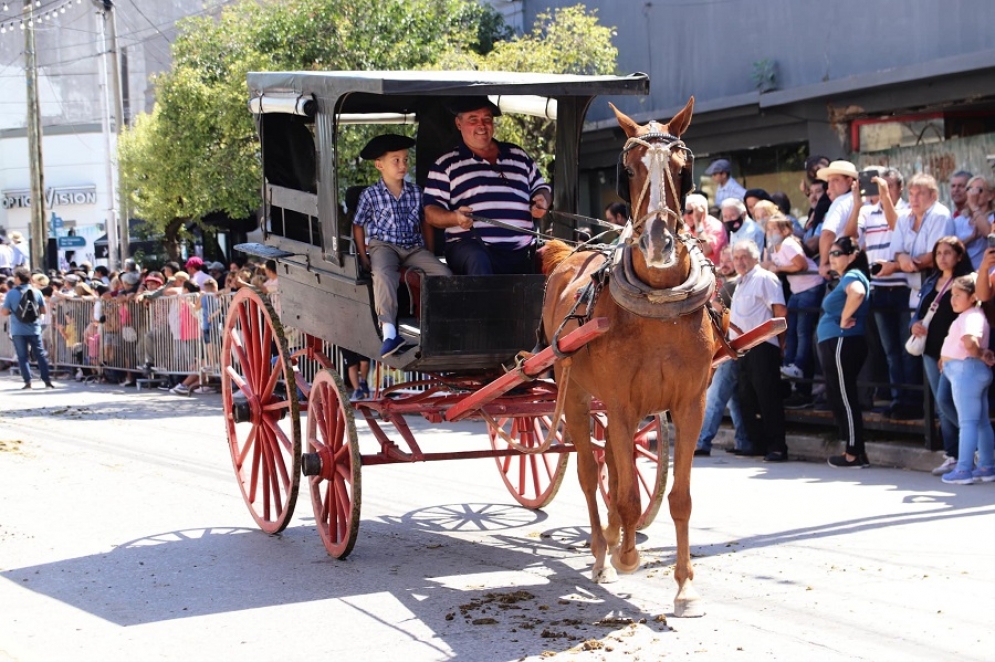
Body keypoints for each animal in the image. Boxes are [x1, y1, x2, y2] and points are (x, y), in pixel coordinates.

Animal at [544, 96, 716, 620]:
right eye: (630, 169)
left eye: (682, 168)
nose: (659, 244)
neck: (658, 305)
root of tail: (566, 255)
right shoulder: (620, 404)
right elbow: (623, 494)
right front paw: (626, 556)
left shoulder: (689, 405)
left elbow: (678, 498)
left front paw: (685, 587)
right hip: (576, 396)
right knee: (588, 473)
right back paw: (604, 554)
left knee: (613, 469)